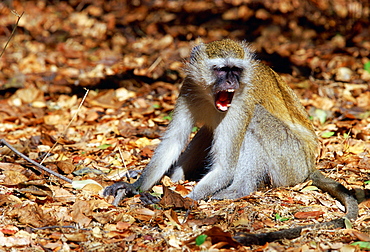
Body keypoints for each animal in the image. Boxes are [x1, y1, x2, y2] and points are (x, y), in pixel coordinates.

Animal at [104, 39, 358, 244]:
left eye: (236, 70)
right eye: (221, 70)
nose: (231, 82)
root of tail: (311, 164)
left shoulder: (240, 105)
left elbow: (225, 167)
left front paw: (179, 201)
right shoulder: (188, 86)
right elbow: (173, 142)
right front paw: (136, 187)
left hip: (291, 162)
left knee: (254, 118)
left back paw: (237, 189)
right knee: (208, 130)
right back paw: (174, 177)